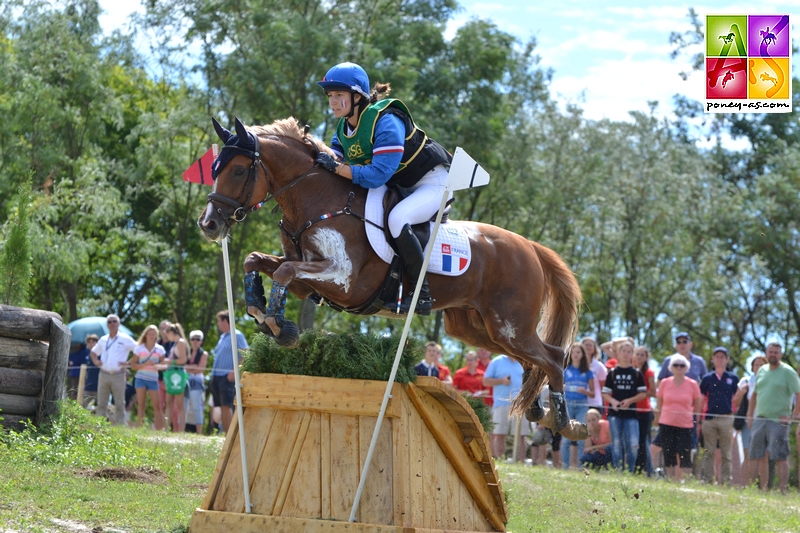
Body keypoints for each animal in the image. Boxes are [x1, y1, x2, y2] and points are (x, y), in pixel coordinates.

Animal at [198, 118, 588, 438]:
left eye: (238, 171)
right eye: (215, 169)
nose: (209, 224)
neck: (318, 200)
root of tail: (530, 246)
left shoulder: (344, 282)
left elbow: (283, 269)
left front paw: (279, 326)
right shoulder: (305, 283)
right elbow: (256, 261)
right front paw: (261, 310)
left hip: (509, 326)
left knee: (553, 357)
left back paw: (565, 422)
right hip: (477, 328)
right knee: (535, 359)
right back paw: (539, 409)